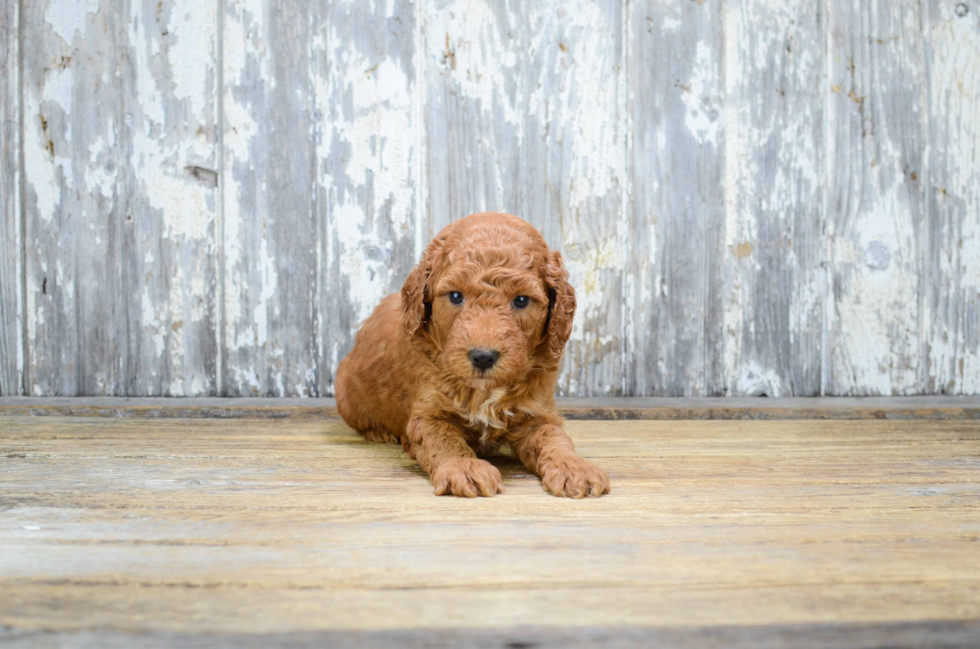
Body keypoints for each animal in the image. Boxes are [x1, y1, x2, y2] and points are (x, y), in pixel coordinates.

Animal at [336, 210, 612, 498]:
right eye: (456, 296)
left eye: (521, 300)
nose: (483, 356)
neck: (483, 392)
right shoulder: (427, 413)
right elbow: (444, 439)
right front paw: (465, 468)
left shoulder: (537, 414)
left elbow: (555, 438)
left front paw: (574, 467)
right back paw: (381, 433)